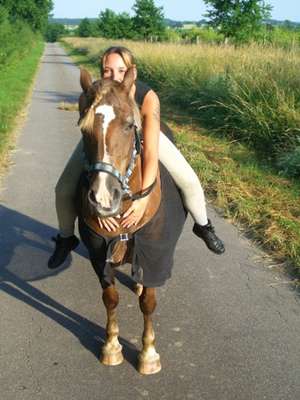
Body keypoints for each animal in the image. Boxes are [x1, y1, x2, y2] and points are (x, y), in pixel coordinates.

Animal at [76, 67, 186, 374]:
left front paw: (148, 354)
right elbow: (110, 298)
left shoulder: (155, 254)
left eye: (128, 126)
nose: (103, 198)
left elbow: (148, 302)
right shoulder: (99, 256)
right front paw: (111, 346)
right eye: (84, 129)